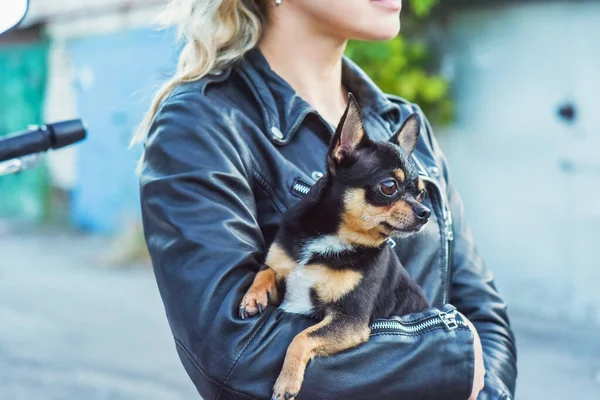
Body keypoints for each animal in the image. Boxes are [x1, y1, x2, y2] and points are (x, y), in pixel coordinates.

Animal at [241, 94, 434, 400]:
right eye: (389, 186)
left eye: (421, 193)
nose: (425, 212)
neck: (334, 238)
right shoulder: (284, 270)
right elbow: (267, 269)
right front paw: (253, 296)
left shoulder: (349, 321)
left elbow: (301, 337)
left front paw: (287, 381)